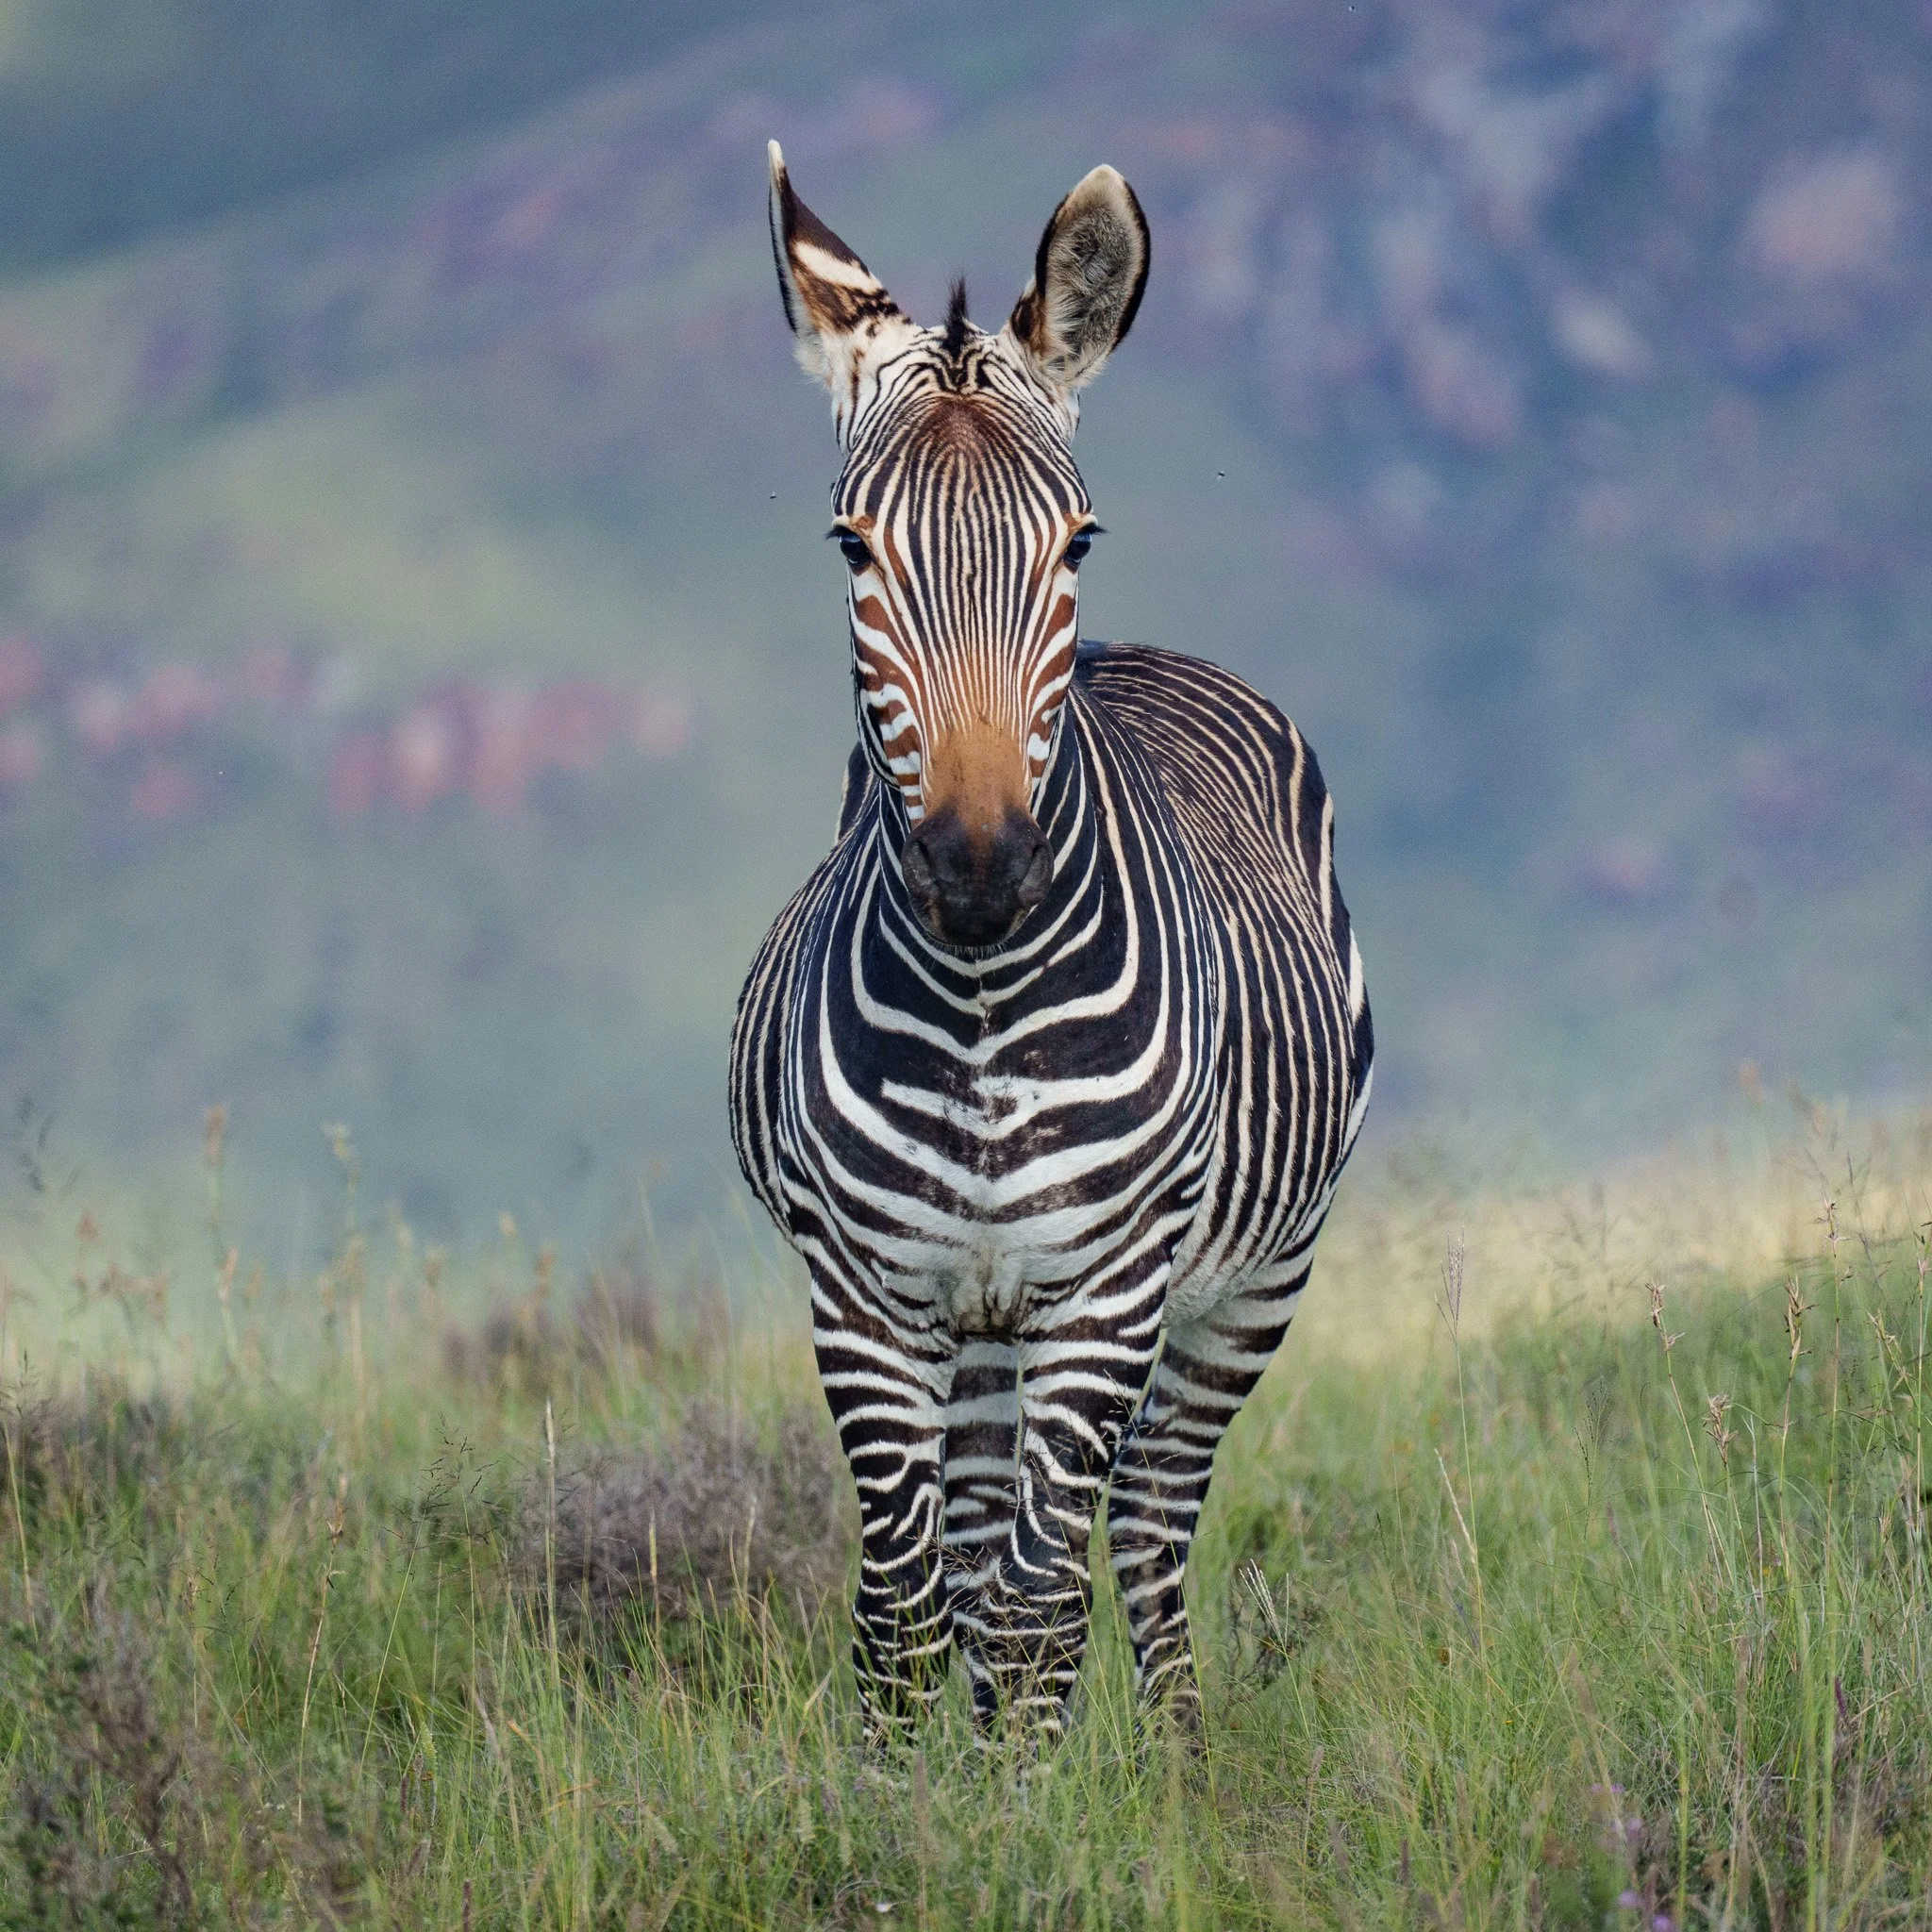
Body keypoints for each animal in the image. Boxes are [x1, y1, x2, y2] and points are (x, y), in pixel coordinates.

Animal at [731, 142, 1373, 1744]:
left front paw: (1035, 1799)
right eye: (850, 545)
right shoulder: (864, 1295)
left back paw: (1181, 1758)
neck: (979, 1002)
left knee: (1140, 1523)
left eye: (1077, 538)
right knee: (973, 1551)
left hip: (1252, 1283)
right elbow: (909, 1607)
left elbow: (1034, 1605)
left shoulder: (1108, 1286)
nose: (979, 873)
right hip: (982, 1323)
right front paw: (907, 1803)